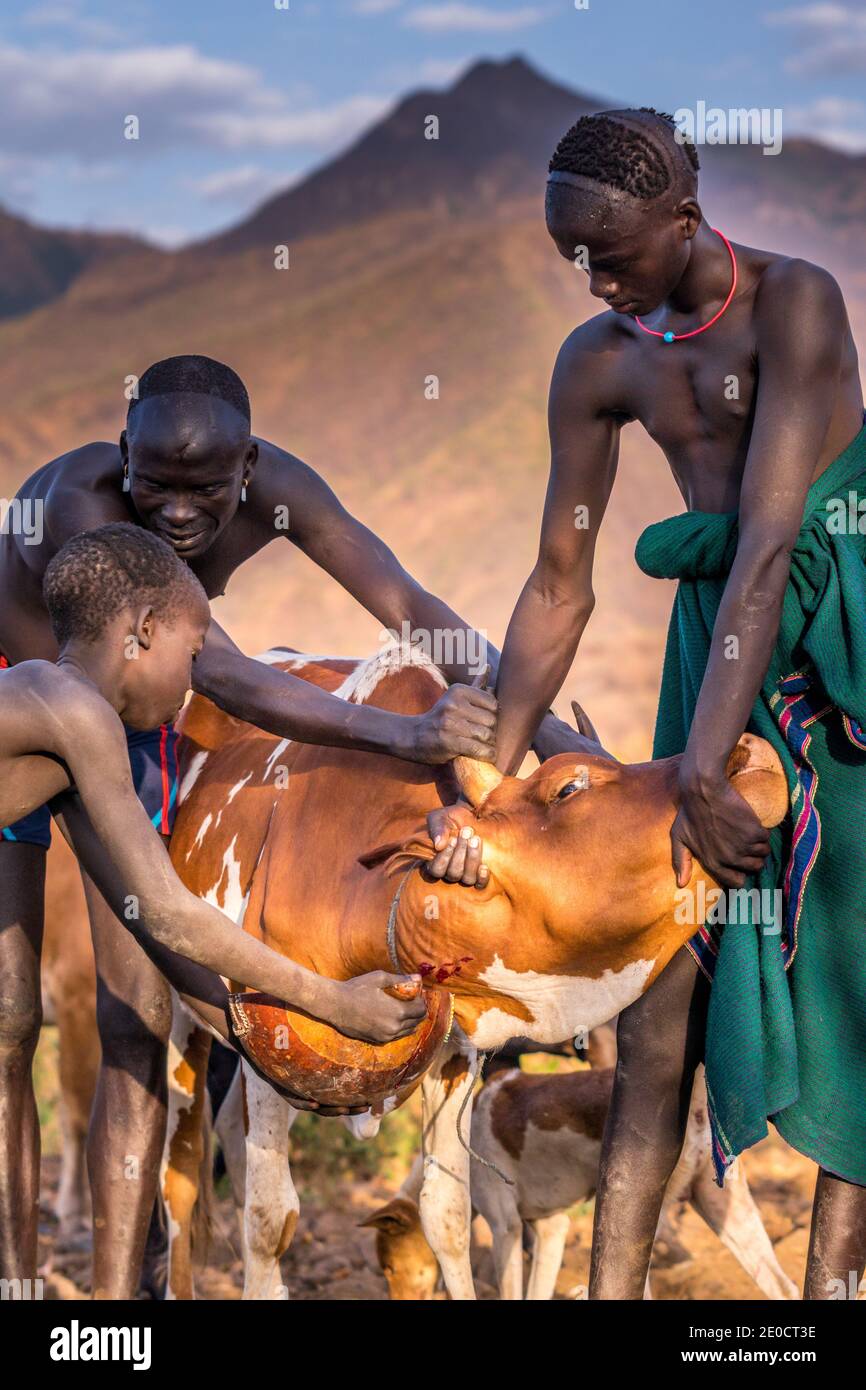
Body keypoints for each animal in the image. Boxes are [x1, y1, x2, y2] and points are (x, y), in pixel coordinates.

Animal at [159, 642, 789, 1301]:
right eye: (568, 786)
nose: (748, 753)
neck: (362, 899)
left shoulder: (455, 1056)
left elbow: (447, 1217)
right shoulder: (263, 1049)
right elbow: (269, 1219)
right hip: (177, 1017)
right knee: (180, 1172)